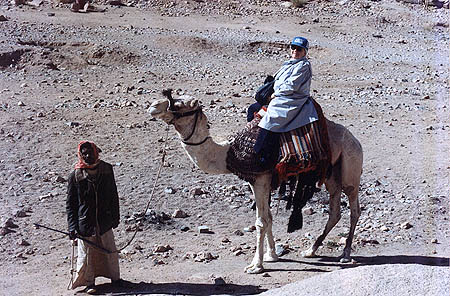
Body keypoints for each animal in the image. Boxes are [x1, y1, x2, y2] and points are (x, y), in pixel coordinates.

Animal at [149, 89, 364, 272]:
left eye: (179, 104)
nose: (153, 106)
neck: (228, 153)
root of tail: (356, 141)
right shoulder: (258, 181)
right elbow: (268, 217)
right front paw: (272, 255)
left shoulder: (260, 179)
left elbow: (261, 221)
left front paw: (256, 265)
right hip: (330, 175)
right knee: (335, 211)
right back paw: (311, 250)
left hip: (351, 166)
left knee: (354, 208)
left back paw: (345, 254)